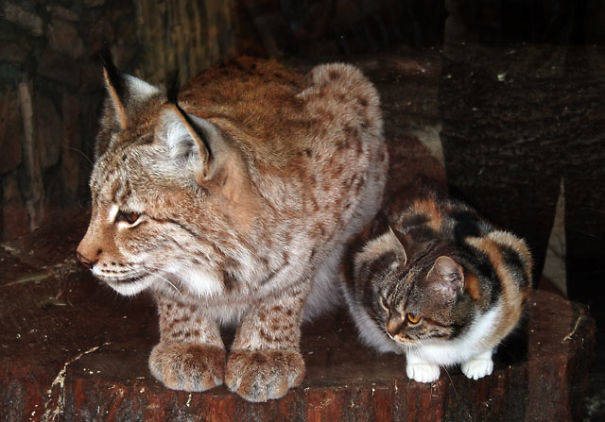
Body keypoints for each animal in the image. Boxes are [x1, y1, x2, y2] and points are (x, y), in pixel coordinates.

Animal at [76, 56, 386, 402]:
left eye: (130, 216)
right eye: (94, 202)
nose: (82, 258)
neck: (226, 267)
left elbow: (291, 279)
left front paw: (263, 354)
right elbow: (173, 289)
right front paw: (190, 345)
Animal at [342, 185, 532, 382]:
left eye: (413, 317)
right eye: (385, 304)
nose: (390, 332)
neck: (450, 340)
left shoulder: (513, 271)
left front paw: (479, 361)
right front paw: (422, 366)